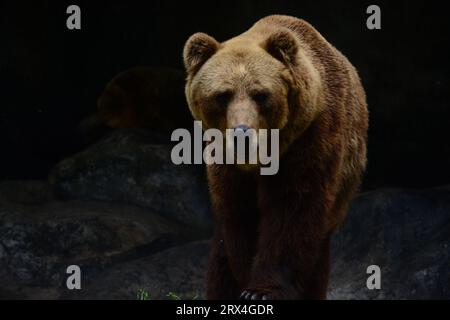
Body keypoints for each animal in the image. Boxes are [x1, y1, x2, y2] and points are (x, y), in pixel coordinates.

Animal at [183, 15, 370, 300]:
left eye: (260, 94)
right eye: (222, 95)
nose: (241, 134)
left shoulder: (310, 139)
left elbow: (291, 209)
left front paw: (261, 290)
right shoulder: (225, 162)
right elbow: (241, 214)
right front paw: (245, 282)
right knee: (220, 258)